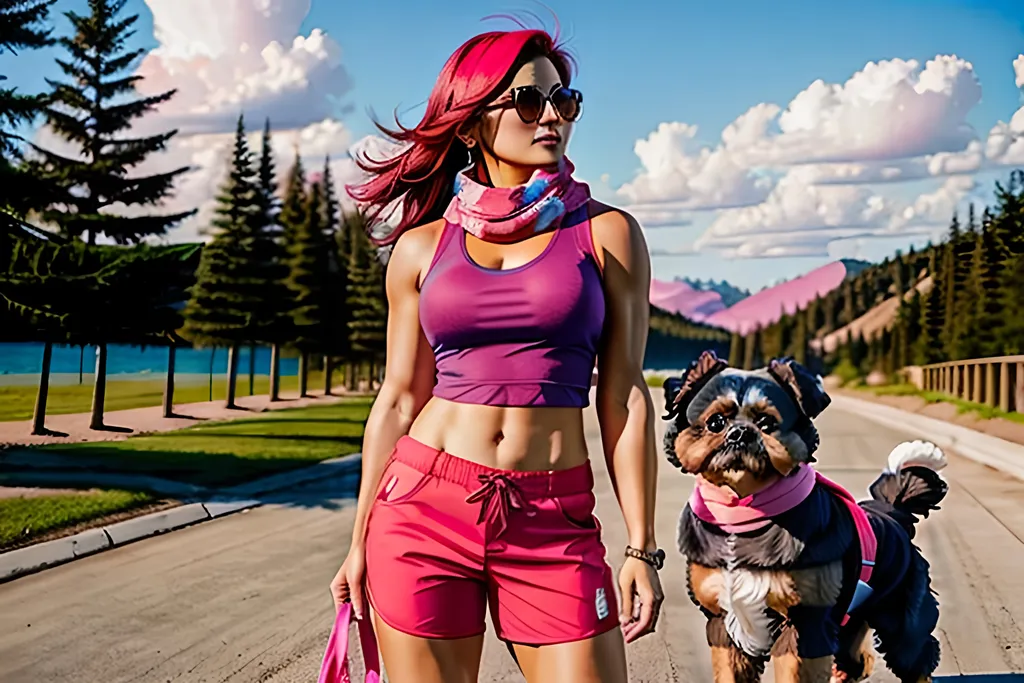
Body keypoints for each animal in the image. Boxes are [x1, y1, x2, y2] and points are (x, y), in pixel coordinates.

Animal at [659, 352, 946, 683]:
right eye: (716, 422)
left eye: (766, 422)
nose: (740, 432)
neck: (744, 514)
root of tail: (893, 513)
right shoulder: (723, 619)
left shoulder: (806, 623)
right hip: (851, 617)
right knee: (855, 660)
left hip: (900, 617)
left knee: (917, 655)